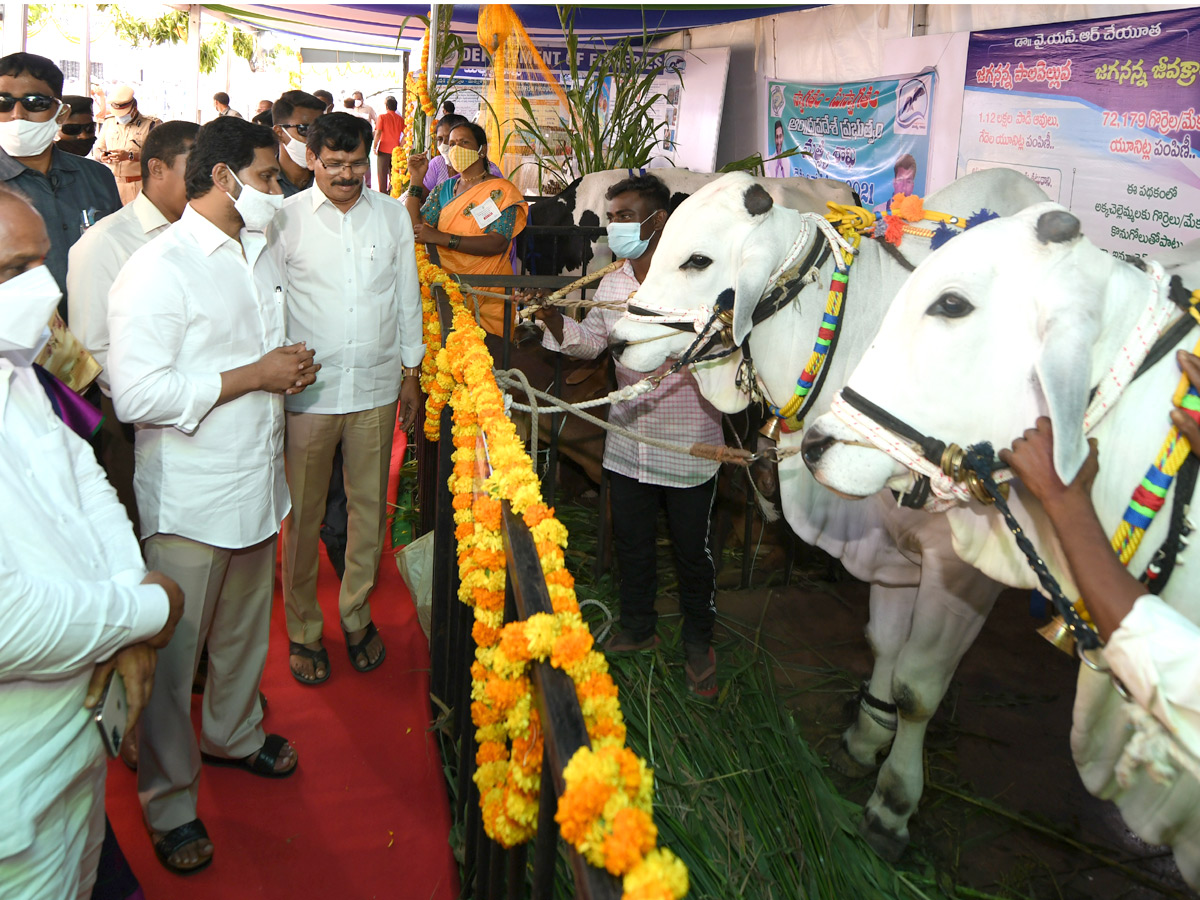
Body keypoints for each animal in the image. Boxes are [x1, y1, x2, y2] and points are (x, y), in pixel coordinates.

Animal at [609, 170, 1051, 859]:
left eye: (697, 260)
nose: (619, 341)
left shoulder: (961, 570)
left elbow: (918, 687)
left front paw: (893, 804)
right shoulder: (886, 543)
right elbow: (884, 643)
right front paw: (867, 737)